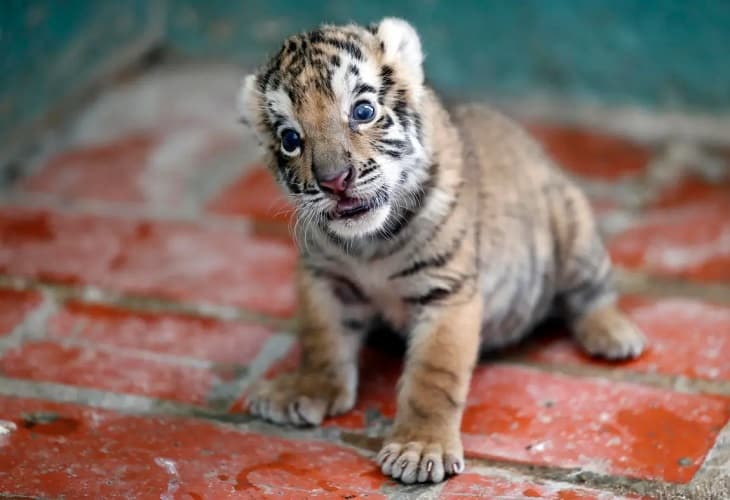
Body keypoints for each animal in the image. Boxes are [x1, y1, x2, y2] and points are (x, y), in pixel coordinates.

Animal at [239, 17, 644, 482]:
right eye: (290, 139)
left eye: (362, 112)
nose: (335, 180)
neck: (369, 244)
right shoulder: (325, 279)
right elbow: (321, 338)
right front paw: (309, 388)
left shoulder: (447, 291)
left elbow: (433, 374)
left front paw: (418, 447)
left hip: (574, 230)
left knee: (591, 295)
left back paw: (614, 336)